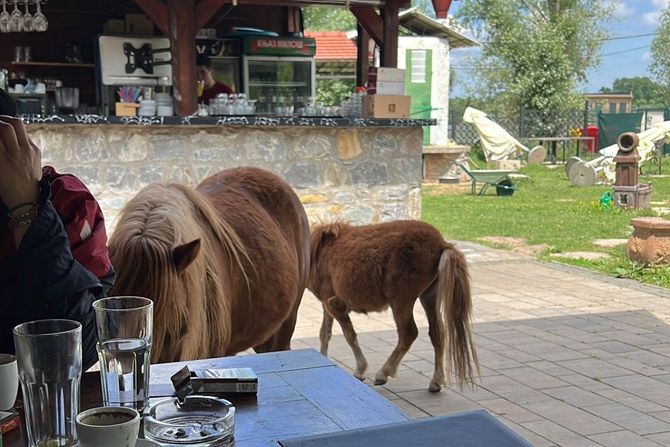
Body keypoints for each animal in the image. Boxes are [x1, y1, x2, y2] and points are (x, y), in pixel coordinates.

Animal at [310, 220, 478, 392]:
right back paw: (436, 381)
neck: (318, 251)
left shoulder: (333, 304)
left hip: (401, 300)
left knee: (408, 333)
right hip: (429, 297)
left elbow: (349, 335)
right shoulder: (327, 303)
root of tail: (442, 244)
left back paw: (384, 373)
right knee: (437, 333)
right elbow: (325, 333)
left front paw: (360, 370)